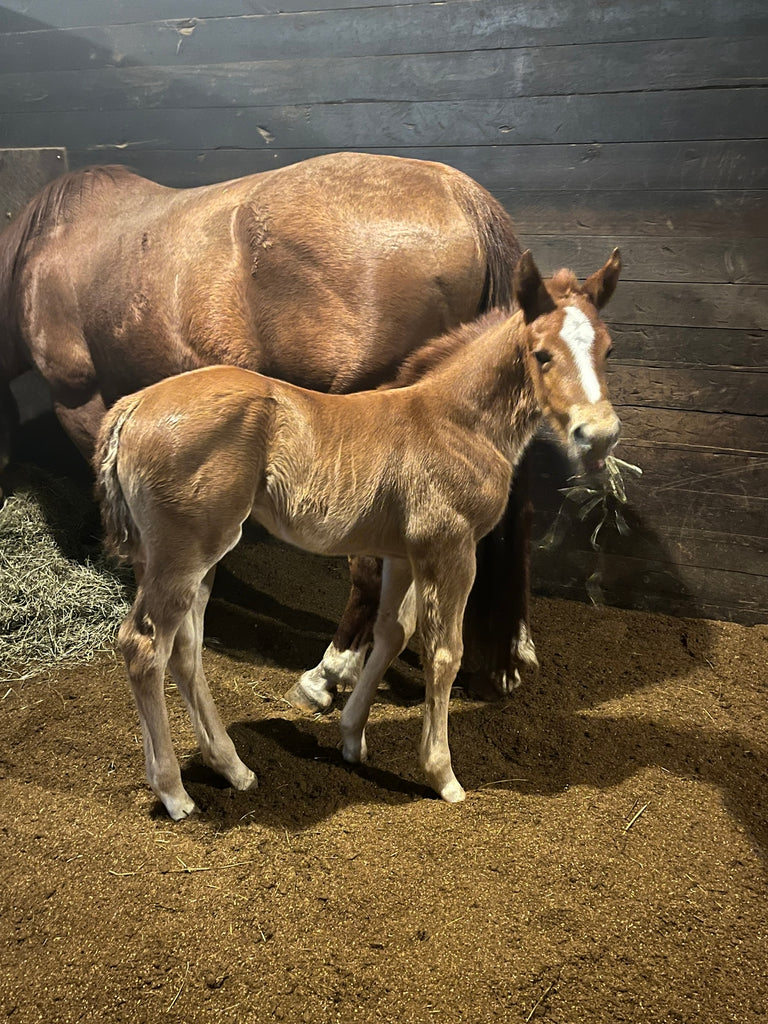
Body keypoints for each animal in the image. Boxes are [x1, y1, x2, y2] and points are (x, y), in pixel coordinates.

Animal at [94, 248, 622, 819]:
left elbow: (393, 632)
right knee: (144, 646)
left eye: (608, 350)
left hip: (181, 557)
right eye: (542, 354)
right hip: (185, 553)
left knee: (185, 648)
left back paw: (233, 769)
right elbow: (444, 651)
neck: (457, 422)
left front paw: (351, 738)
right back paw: (174, 792)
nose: (599, 434)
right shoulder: (451, 548)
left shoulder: (403, 555)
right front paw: (442, 774)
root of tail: (132, 406)